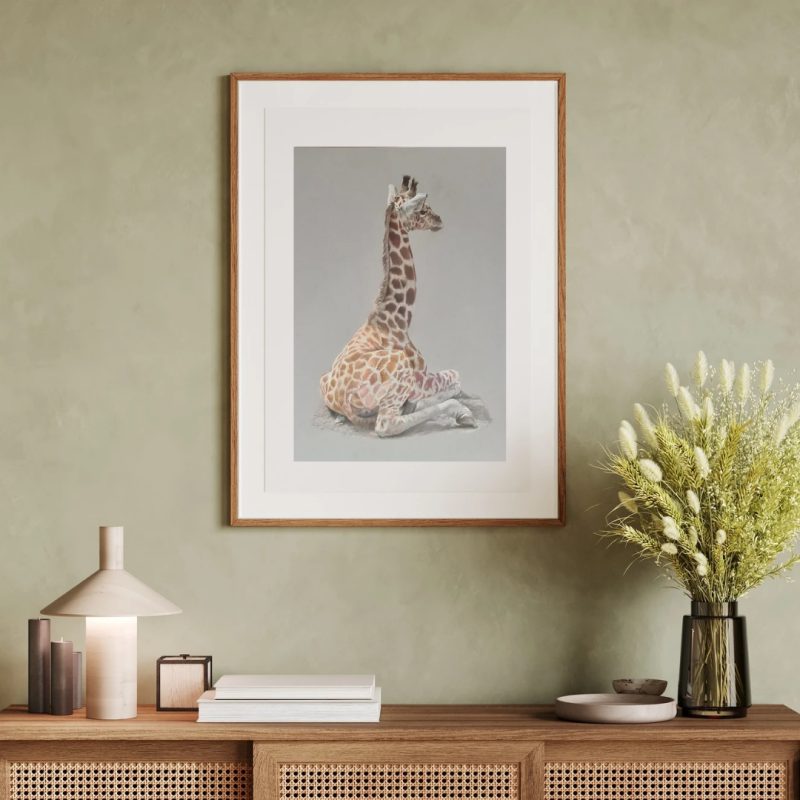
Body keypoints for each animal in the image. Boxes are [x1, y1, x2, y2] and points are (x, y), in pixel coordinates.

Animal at [320, 175, 477, 437]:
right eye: (422, 209)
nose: (439, 220)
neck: (398, 318)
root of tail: (343, 398)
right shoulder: (420, 377)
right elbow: (456, 376)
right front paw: (460, 408)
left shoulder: (419, 383)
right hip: (399, 376)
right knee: (386, 424)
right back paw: (461, 413)